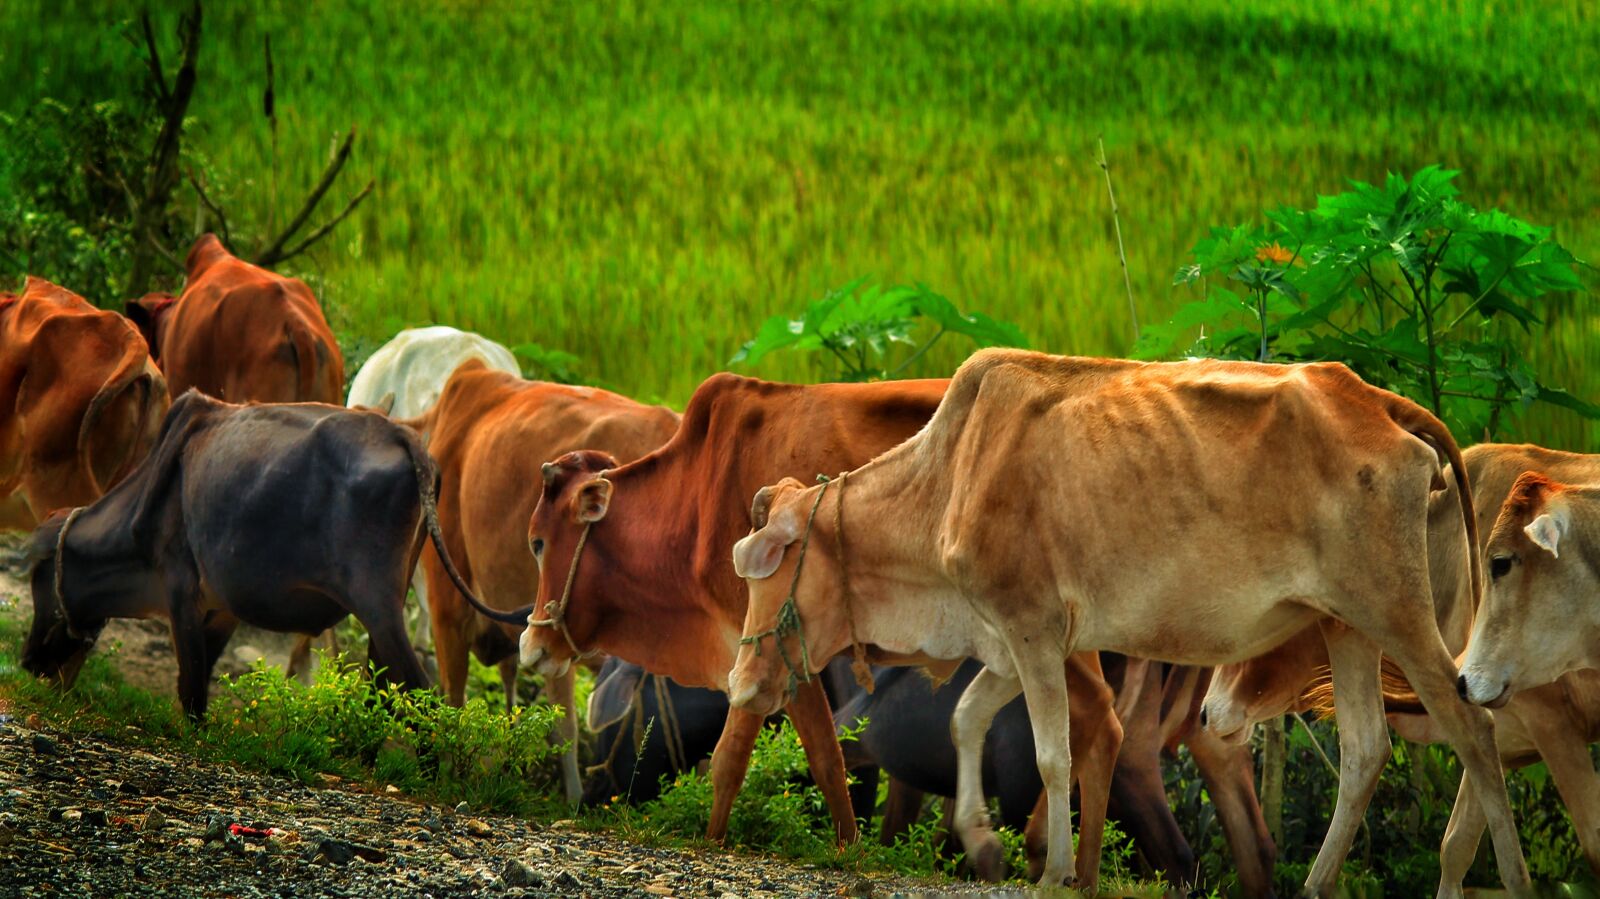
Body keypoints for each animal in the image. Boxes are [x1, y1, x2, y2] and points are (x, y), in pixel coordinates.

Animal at [18, 390, 491, 720]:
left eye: (38, 576)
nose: (27, 662)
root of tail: (401, 434)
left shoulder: (179, 588)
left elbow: (192, 689)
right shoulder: (224, 604)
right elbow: (202, 670)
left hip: (376, 603)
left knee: (419, 690)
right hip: (386, 608)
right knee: (384, 689)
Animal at [727, 350, 1529, 895]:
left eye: (771, 564)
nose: (739, 682)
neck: (951, 475)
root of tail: (1379, 400)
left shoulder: (1030, 627)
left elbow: (1053, 754)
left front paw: (1052, 871)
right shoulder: (1009, 641)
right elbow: (965, 718)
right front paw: (982, 840)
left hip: (1396, 613)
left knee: (1476, 732)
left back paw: (1512, 877)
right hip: (1345, 627)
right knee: (1365, 751)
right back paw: (1314, 883)